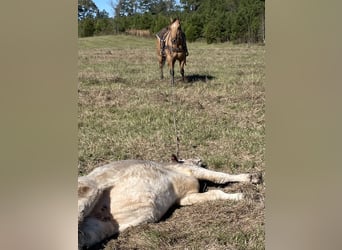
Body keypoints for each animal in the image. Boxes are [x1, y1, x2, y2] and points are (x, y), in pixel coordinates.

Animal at [78, 155, 262, 249]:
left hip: (98, 227)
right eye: (188, 157)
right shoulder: (192, 170)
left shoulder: (185, 197)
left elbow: (213, 193)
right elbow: (220, 176)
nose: (201, 158)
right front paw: (250, 183)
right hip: (90, 191)